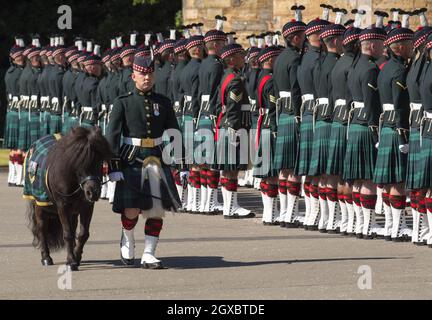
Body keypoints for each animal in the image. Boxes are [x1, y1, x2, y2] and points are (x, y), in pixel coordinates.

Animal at [26, 126, 112, 272]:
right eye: (79, 162)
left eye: (100, 161)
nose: (93, 192)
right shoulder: (63, 206)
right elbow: (67, 234)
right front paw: (71, 261)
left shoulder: (87, 207)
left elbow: (82, 234)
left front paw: (76, 258)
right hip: (40, 205)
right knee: (42, 228)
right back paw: (46, 258)